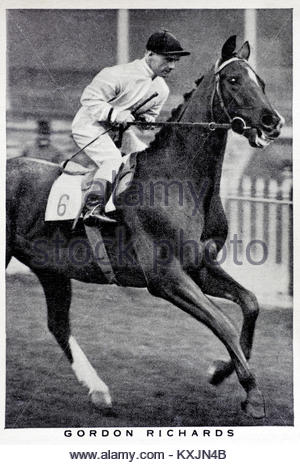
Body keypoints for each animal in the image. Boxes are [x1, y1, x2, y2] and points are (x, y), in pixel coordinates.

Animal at [6, 36, 284, 418]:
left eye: (262, 82)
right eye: (233, 81)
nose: (273, 122)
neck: (179, 179)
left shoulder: (199, 266)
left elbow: (251, 304)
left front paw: (220, 371)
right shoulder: (166, 278)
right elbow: (223, 322)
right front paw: (253, 395)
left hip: (51, 268)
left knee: (58, 324)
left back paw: (100, 392)